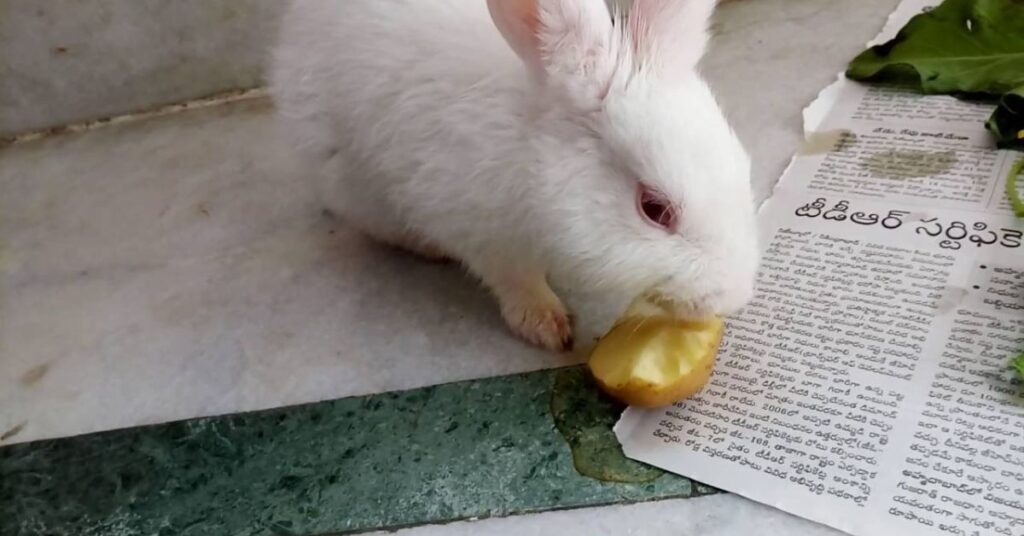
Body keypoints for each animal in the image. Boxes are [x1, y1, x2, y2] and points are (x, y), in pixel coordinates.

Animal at [268, 0, 759, 353]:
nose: (734, 296)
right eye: (655, 209)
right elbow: (516, 283)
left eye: (742, 167)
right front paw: (548, 327)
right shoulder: (482, 233)